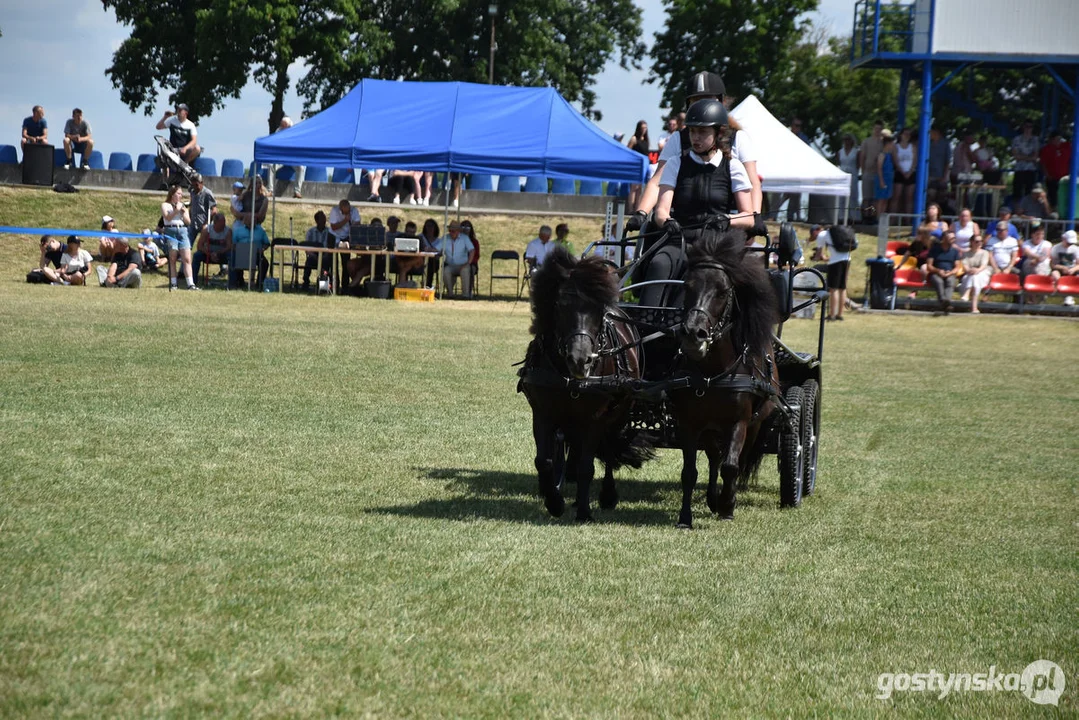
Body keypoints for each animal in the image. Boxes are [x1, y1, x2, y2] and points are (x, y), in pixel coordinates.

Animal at [517, 245, 651, 520]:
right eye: (559, 306)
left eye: (599, 311)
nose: (580, 360)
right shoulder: (543, 413)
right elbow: (544, 461)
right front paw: (554, 501)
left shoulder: (595, 418)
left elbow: (587, 466)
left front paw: (584, 511)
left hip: (619, 412)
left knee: (609, 448)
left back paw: (607, 495)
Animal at [668, 227, 781, 526]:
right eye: (687, 286)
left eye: (722, 292)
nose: (693, 335)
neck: (713, 373)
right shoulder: (689, 423)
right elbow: (690, 472)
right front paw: (685, 518)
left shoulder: (738, 421)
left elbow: (731, 466)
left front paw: (727, 507)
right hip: (710, 427)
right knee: (713, 457)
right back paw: (711, 497)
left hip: (755, 423)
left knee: (734, 461)